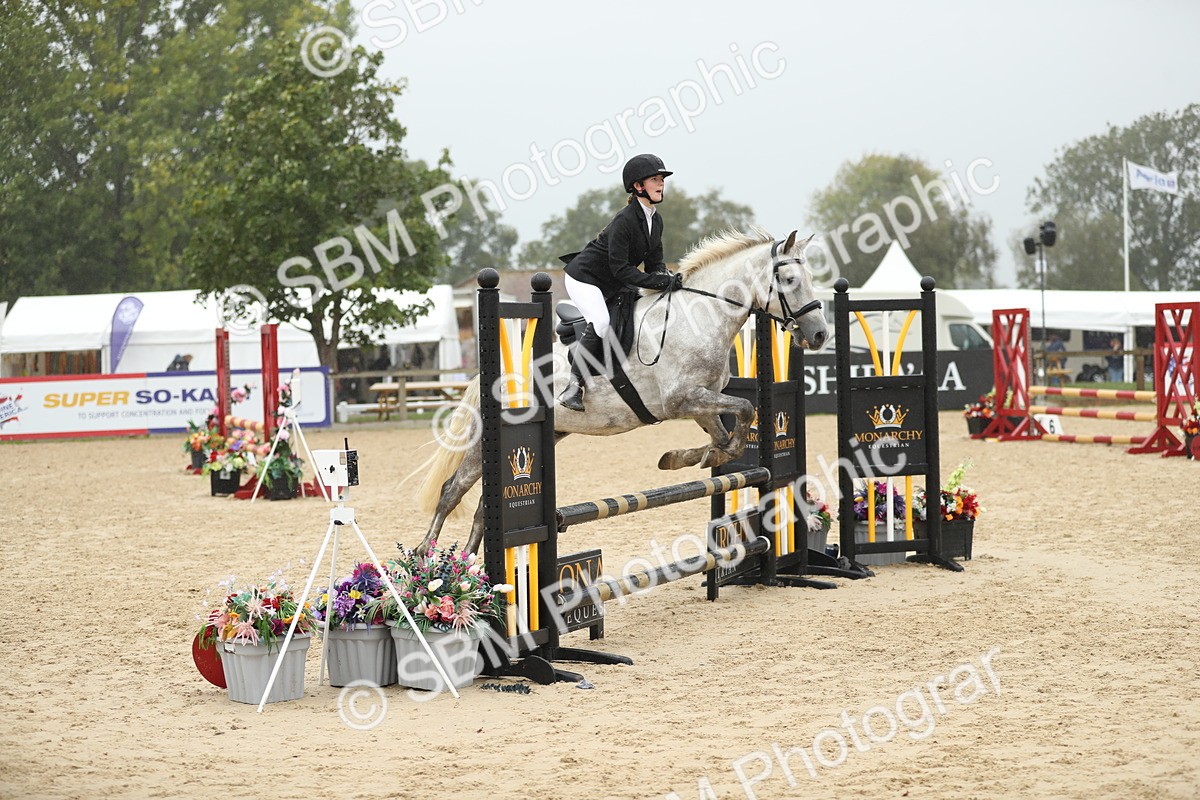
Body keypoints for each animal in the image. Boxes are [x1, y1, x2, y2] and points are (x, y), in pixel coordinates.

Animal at [415, 228, 828, 555]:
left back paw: (471, 565)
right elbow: (744, 408)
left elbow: (725, 433)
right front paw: (702, 454)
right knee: (453, 490)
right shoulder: (680, 399)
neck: (701, 317)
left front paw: (690, 456)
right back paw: (430, 557)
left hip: (547, 433)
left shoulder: (699, 401)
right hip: (483, 441)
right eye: (790, 280)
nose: (821, 334)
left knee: (483, 506)